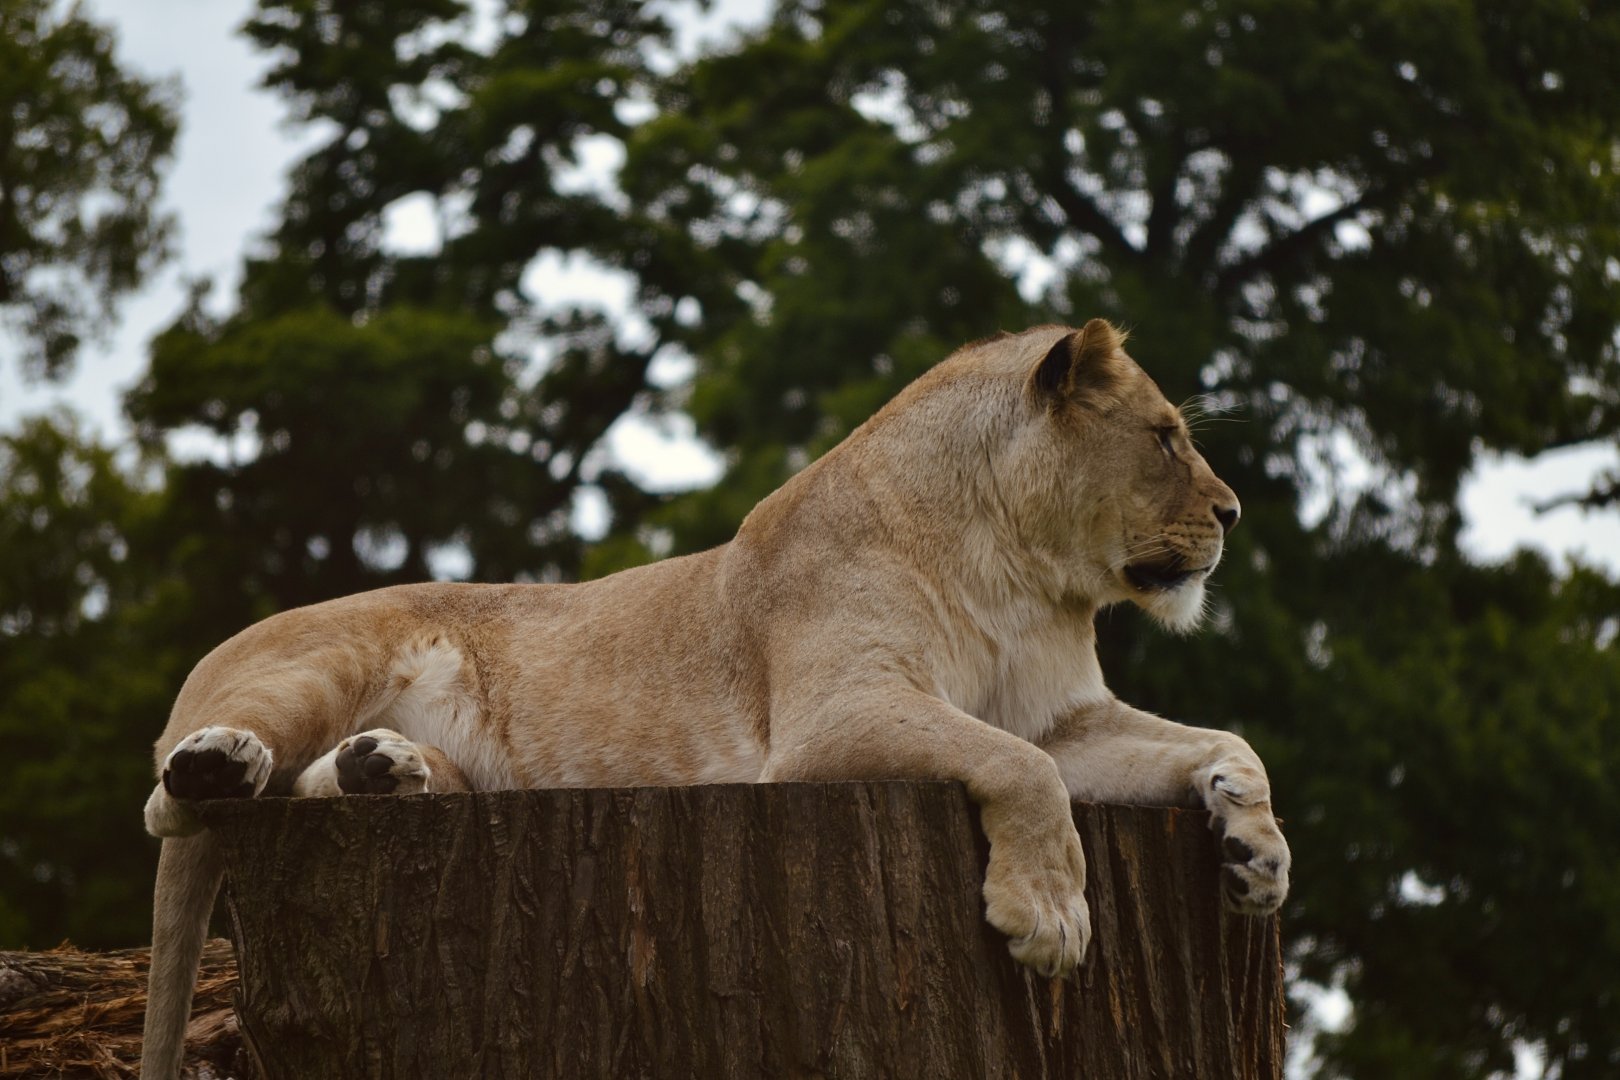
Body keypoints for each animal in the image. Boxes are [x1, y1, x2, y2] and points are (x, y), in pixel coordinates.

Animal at [138, 320, 1289, 1077]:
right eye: (1164, 438)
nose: (1235, 512)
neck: (1023, 572)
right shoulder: (834, 717)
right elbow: (1025, 769)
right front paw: (1048, 914)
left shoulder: (1064, 714)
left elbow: (1218, 741)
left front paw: (1255, 851)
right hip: (322, 659)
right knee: (180, 795)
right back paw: (223, 762)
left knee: (318, 782)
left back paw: (386, 770)